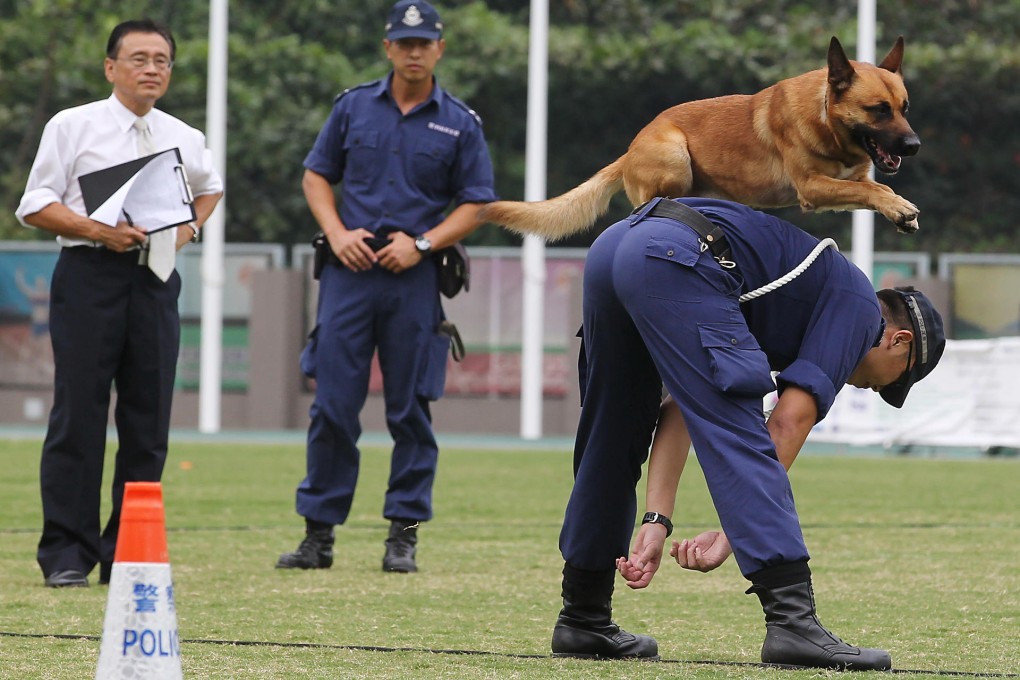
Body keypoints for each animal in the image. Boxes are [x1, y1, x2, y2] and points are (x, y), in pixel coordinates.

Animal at [481, 37, 922, 240]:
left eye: (905, 107)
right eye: (879, 110)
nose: (914, 146)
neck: (826, 116)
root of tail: (628, 151)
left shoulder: (849, 180)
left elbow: (873, 189)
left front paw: (897, 207)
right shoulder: (812, 187)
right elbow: (871, 190)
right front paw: (900, 206)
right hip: (675, 157)